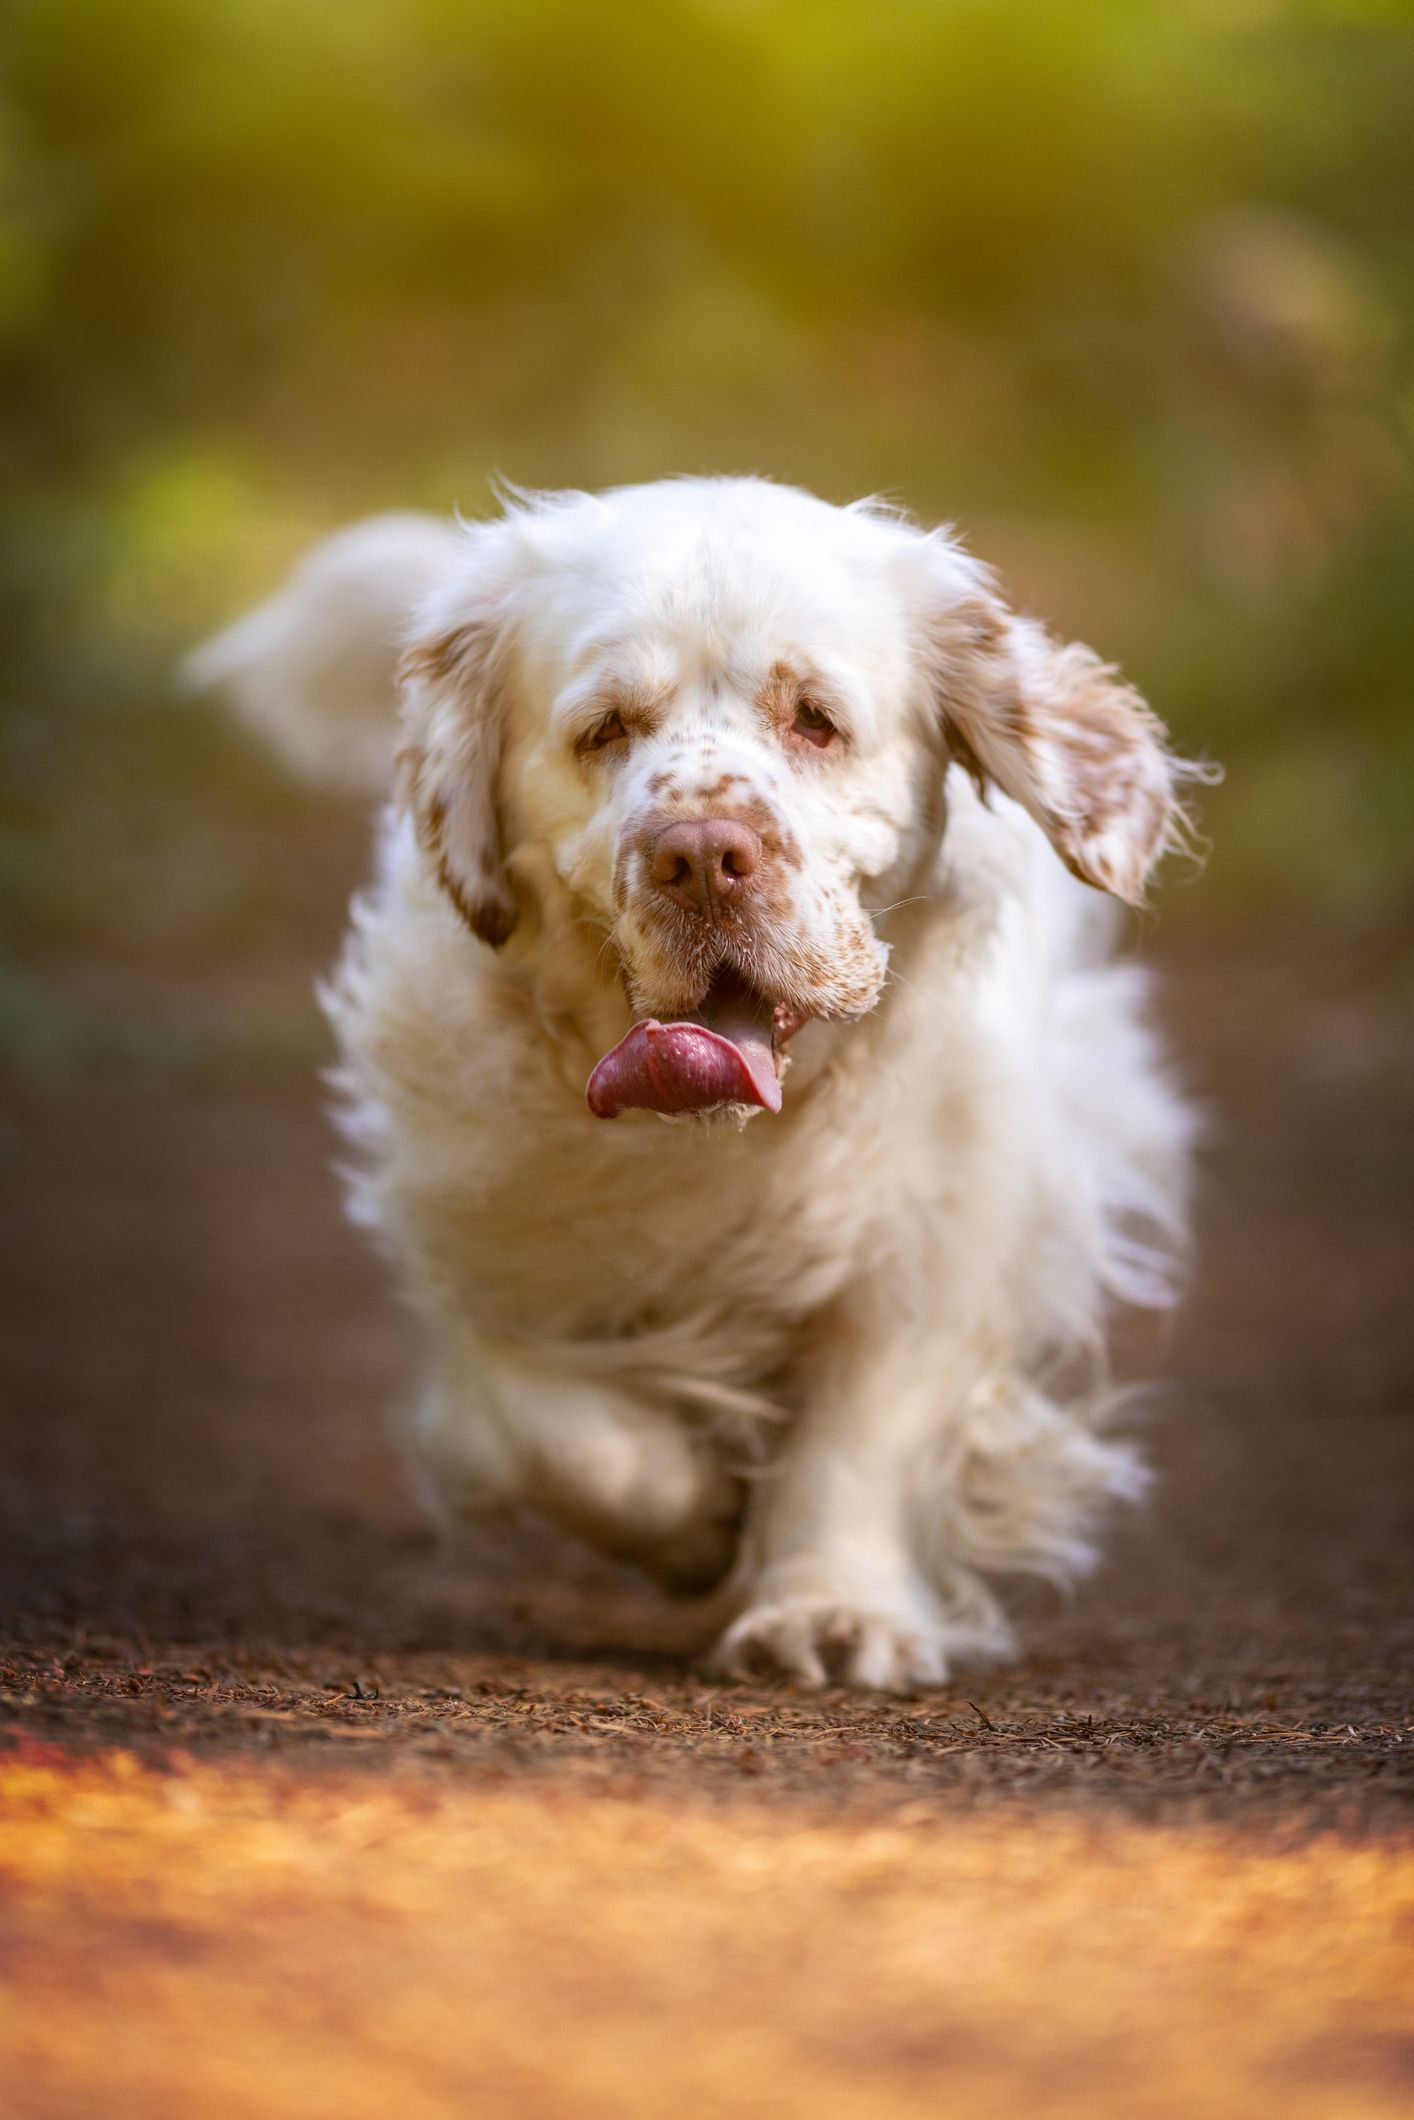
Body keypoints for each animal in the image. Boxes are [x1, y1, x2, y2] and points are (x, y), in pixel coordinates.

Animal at [187, 476, 1204, 1687]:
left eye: (815, 719)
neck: (709, 1134)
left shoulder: (936, 1234)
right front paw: (698, 1522)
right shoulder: (477, 1247)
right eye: (604, 730)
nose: (703, 856)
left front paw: (827, 1608)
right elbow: (548, 1428)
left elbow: (860, 1434)